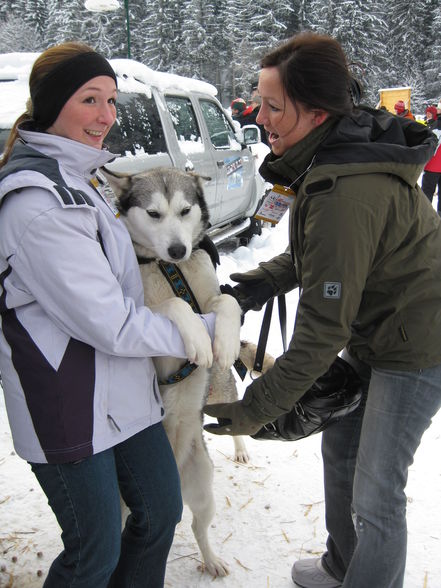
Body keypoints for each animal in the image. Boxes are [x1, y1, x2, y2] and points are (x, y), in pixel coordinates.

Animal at [103, 168, 248, 576]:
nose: (178, 250)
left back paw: (212, 559)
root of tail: (178, 478)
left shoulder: (212, 296)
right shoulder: (138, 314)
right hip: (128, 505)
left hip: (204, 489)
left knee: (200, 528)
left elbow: (227, 301)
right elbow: (174, 306)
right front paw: (198, 337)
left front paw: (225, 342)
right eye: (153, 214)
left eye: (185, 210)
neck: (169, 269)